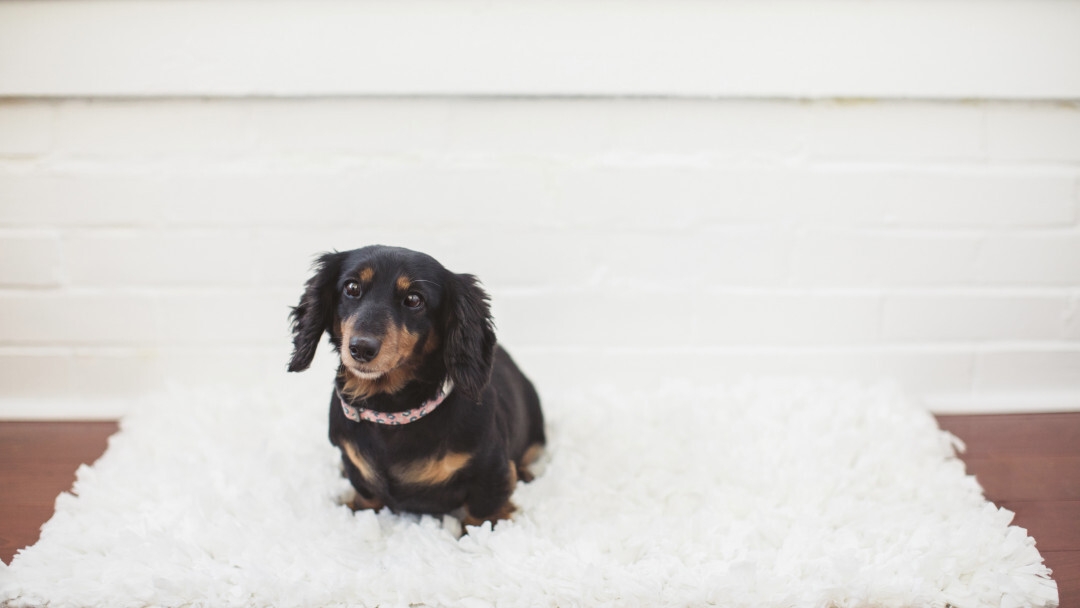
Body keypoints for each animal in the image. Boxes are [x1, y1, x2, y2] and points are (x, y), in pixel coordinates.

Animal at [287, 245, 544, 524]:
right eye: (352, 287)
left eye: (413, 299)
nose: (361, 349)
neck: (391, 412)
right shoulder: (355, 466)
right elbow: (366, 495)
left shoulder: (492, 472)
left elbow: (482, 513)